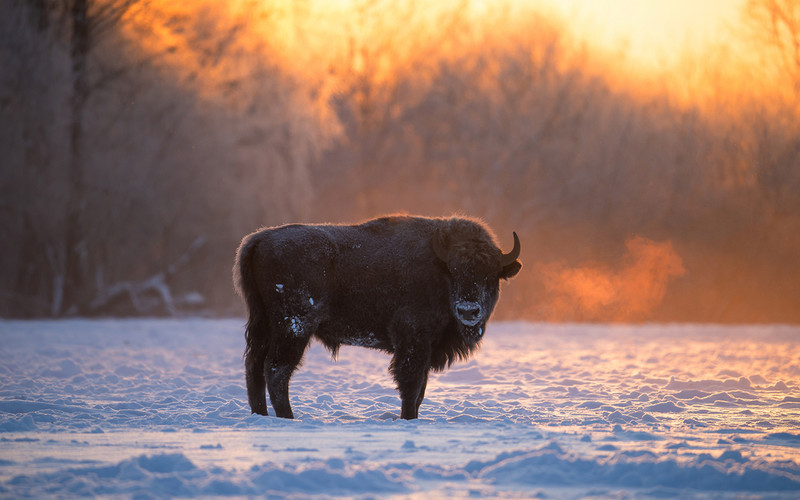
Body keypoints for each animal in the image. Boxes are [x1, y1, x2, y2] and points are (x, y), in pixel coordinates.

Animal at [233, 215, 520, 418]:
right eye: (454, 270)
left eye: (491, 274)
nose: (468, 310)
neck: (438, 267)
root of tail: (258, 240)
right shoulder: (413, 342)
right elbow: (411, 387)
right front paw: (408, 419)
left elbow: (420, 391)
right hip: (294, 328)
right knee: (276, 370)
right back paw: (289, 418)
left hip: (264, 327)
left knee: (254, 368)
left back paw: (261, 415)